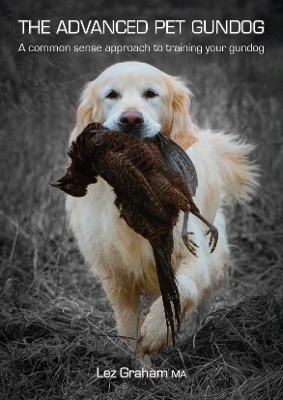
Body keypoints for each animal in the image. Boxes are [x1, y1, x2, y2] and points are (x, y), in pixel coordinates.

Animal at [65, 61, 260, 366]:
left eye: (151, 93)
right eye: (111, 95)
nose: (130, 119)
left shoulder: (192, 258)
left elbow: (186, 287)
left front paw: (157, 332)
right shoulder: (115, 275)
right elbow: (128, 325)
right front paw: (143, 367)